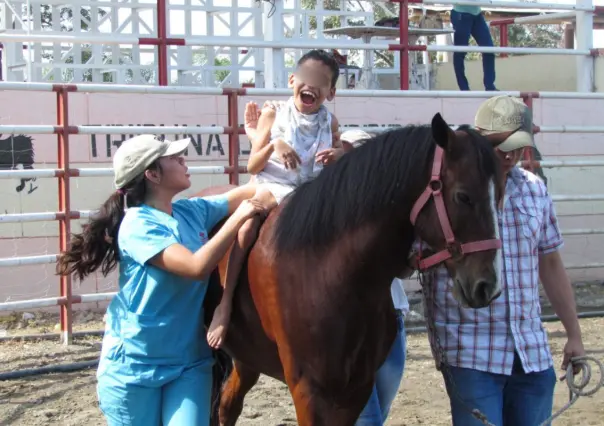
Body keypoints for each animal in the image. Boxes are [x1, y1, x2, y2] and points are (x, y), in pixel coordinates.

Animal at [199, 113, 504, 426]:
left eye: (500, 195)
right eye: (463, 197)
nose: (488, 286)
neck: (329, 272)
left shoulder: (356, 390)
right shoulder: (307, 392)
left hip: (247, 359)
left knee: (227, 405)